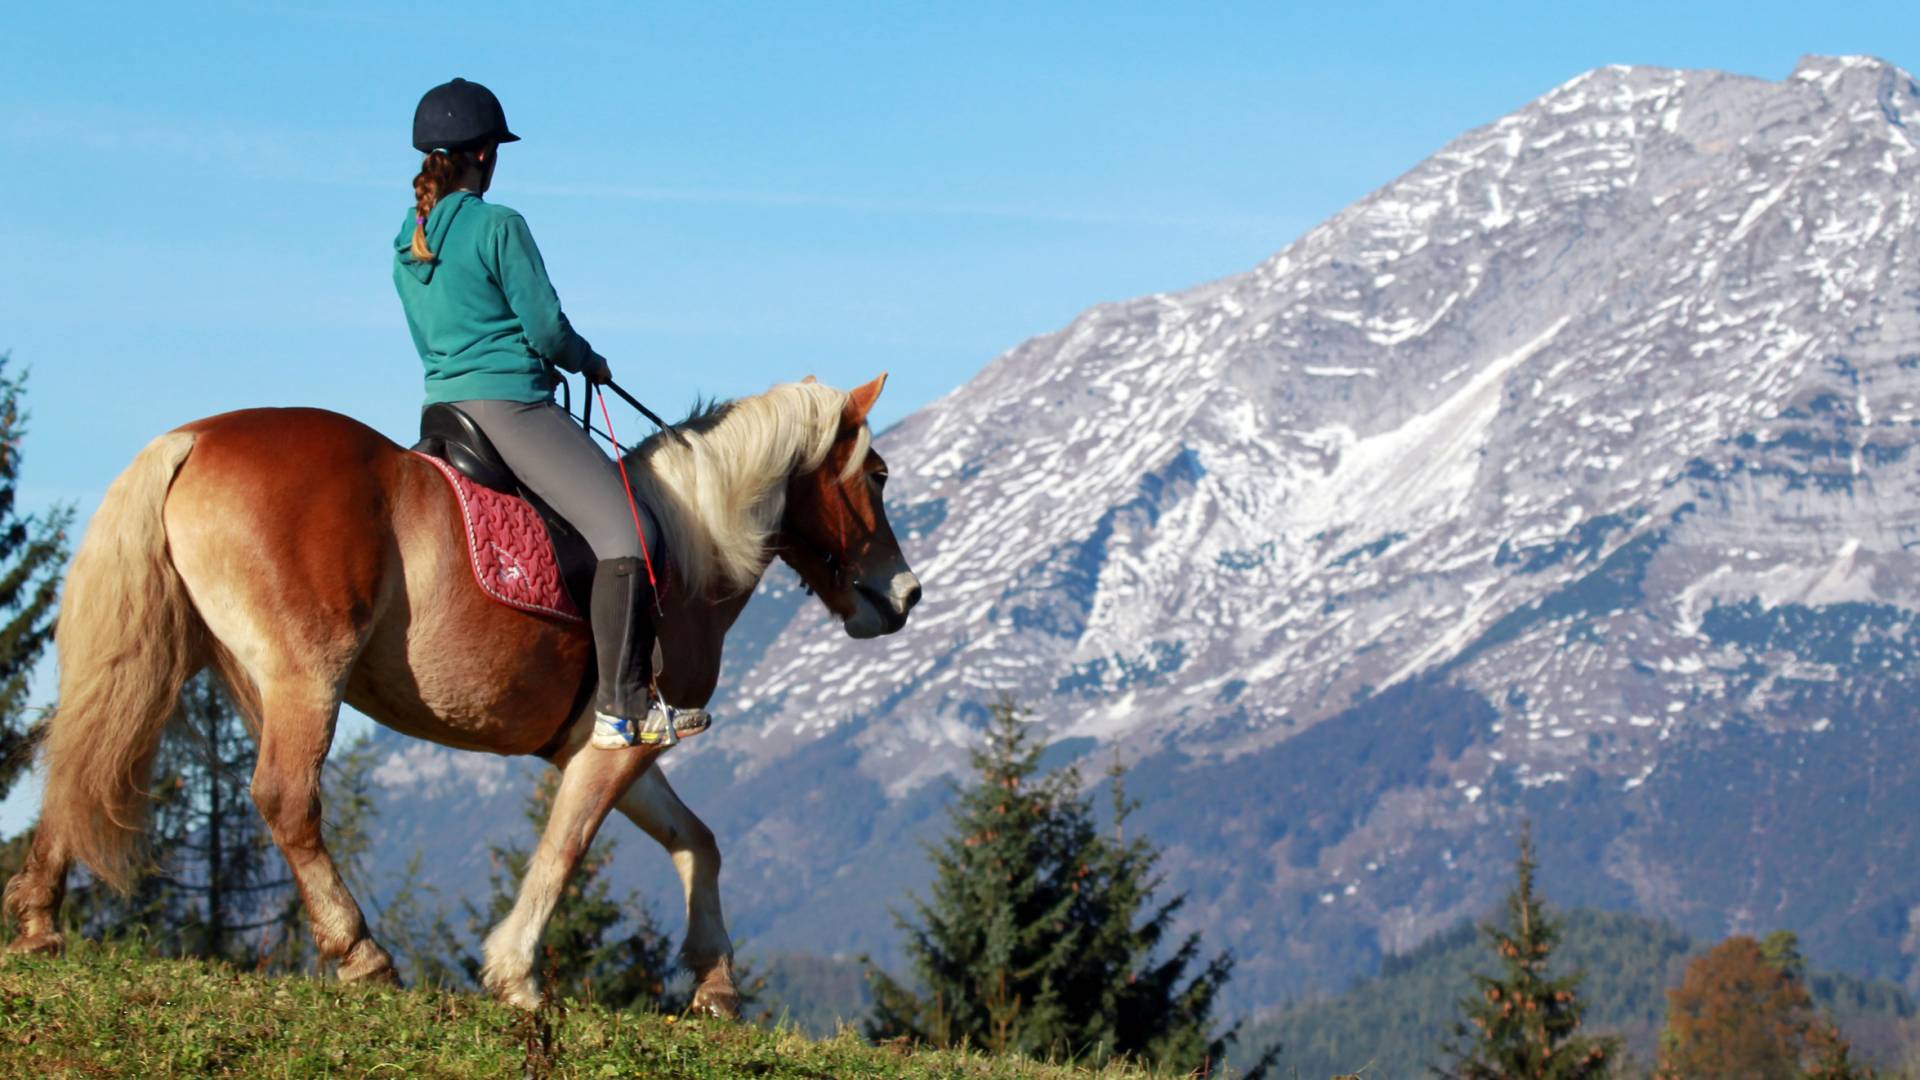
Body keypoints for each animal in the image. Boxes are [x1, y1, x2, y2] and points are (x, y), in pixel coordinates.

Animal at [0, 374, 917, 1014]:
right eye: (874, 474)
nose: (905, 596)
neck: (692, 544)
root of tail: (191, 439)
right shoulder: (623, 738)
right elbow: (566, 846)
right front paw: (515, 971)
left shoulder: (608, 741)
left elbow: (698, 841)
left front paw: (716, 983)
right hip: (304, 678)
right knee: (285, 799)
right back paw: (361, 954)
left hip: (173, 661)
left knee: (80, 757)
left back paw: (40, 922)